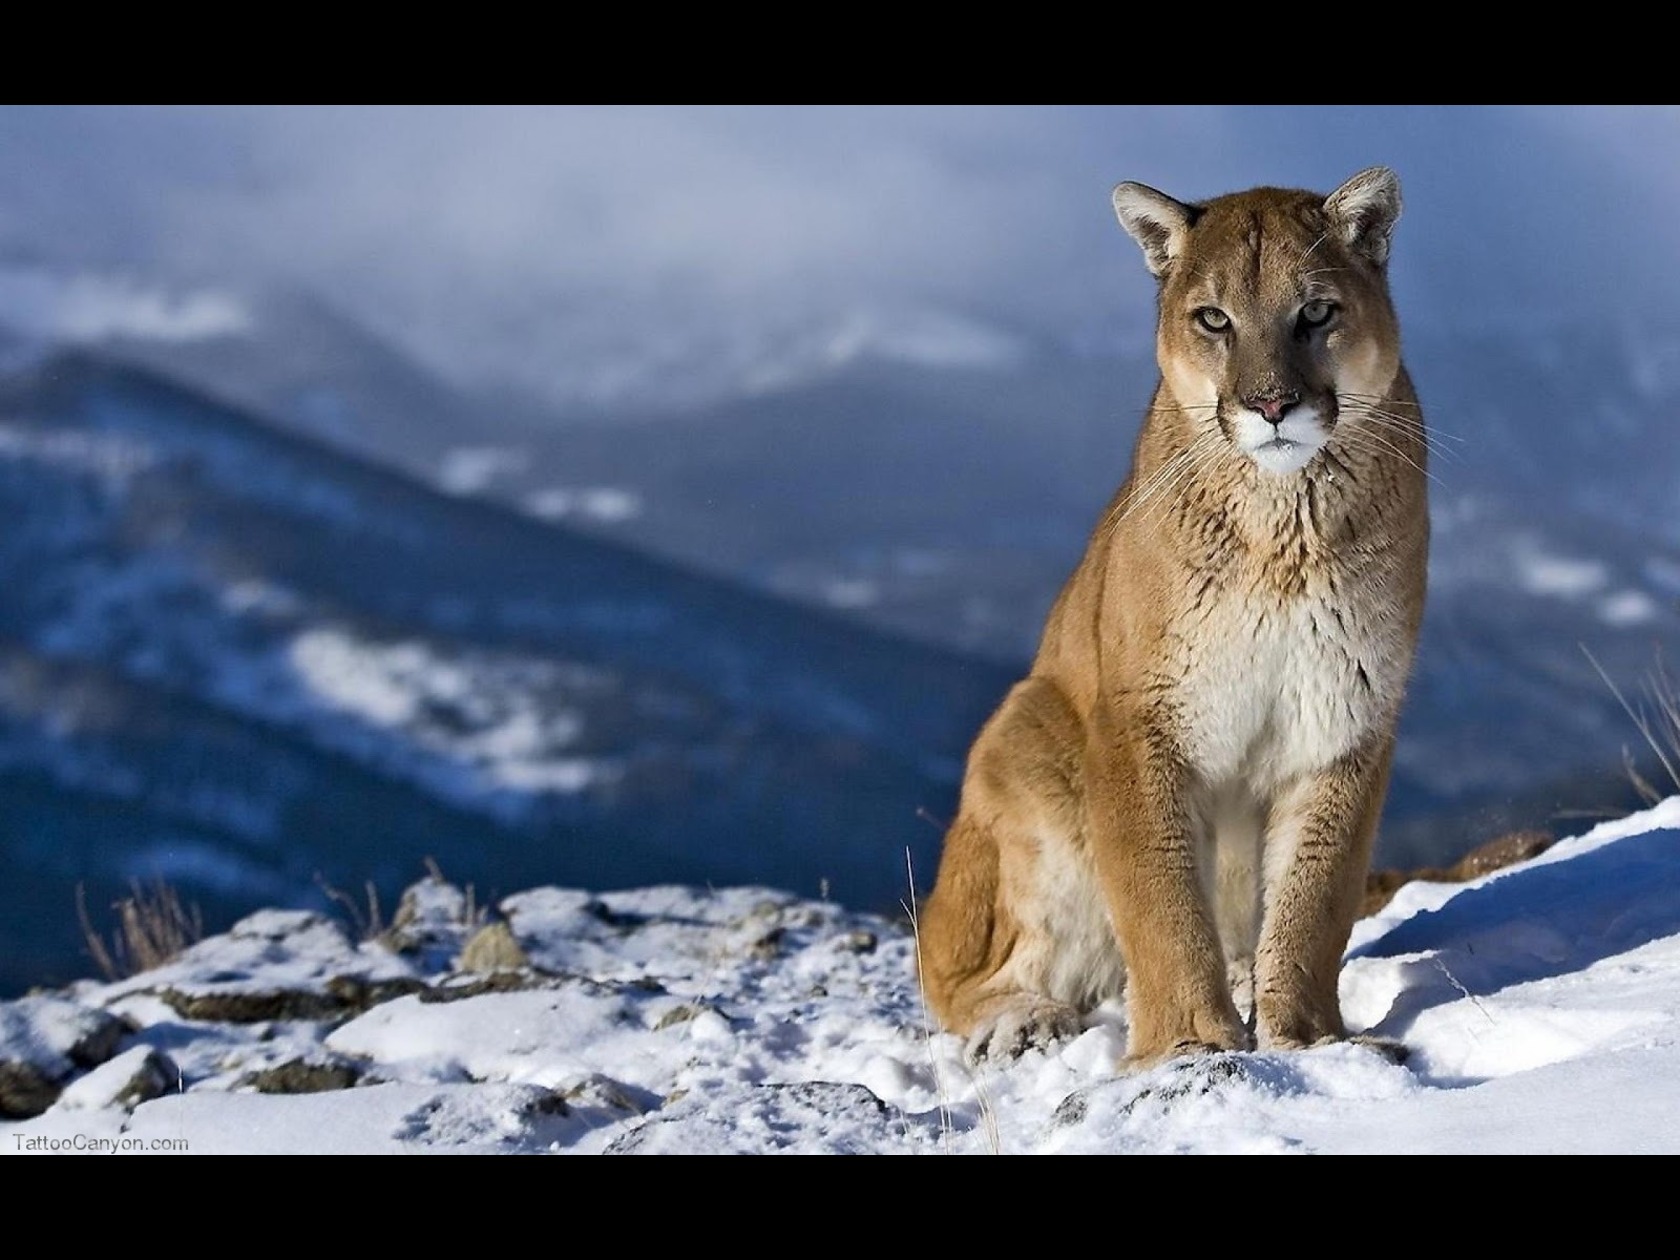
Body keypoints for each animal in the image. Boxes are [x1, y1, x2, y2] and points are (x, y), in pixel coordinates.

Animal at [920, 168, 1431, 1068]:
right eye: (1214, 319)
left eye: (1317, 312)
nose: (1272, 405)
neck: (1281, 529)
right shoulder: (1141, 722)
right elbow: (1159, 896)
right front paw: (1190, 1040)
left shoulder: (1343, 718)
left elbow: (1314, 899)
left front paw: (1307, 1036)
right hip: (1028, 736)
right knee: (958, 967)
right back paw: (1020, 1019)